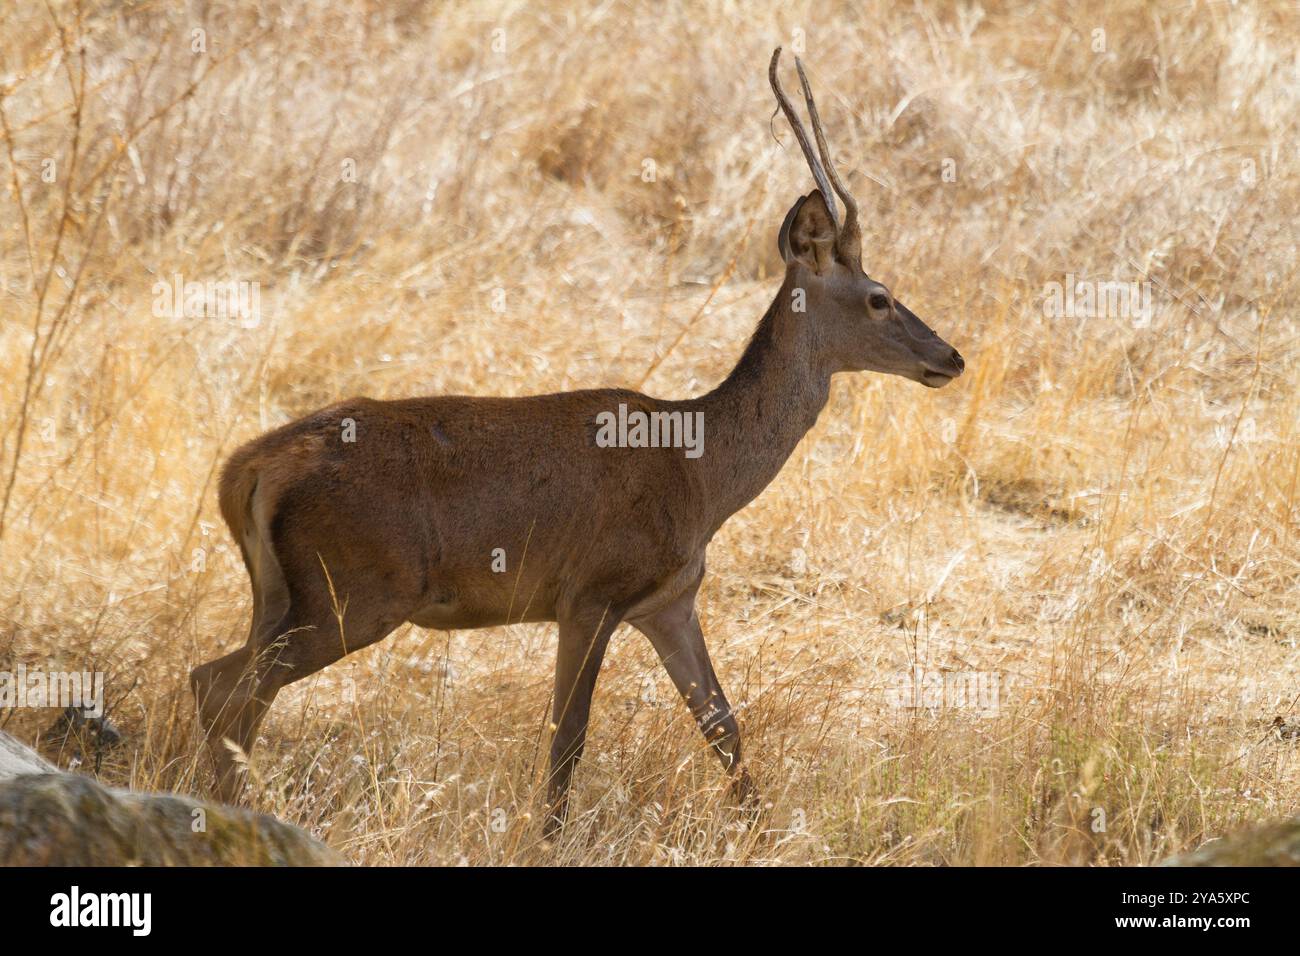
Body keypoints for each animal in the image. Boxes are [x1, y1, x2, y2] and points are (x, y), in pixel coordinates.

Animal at [192, 48, 967, 832]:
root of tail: (247, 470)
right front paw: (550, 838)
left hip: (281, 593)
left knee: (218, 680)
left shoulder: (668, 602)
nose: (952, 357)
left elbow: (723, 724)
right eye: (880, 297)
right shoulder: (591, 591)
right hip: (358, 589)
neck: (701, 473)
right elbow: (570, 738)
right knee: (226, 685)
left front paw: (759, 830)